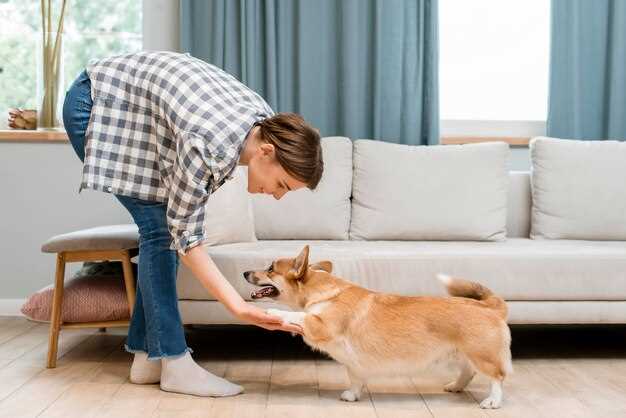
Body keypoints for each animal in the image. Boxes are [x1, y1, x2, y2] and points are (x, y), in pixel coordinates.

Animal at [241, 245, 510, 408]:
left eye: (270, 269)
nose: (244, 272)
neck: (322, 292)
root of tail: (491, 306)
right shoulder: (354, 364)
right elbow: (355, 379)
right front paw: (352, 395)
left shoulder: (321, 325)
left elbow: (298, 315)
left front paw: (274, 312)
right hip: (464, 354)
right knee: (469, 371)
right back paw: (455, 386)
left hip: (482, 355)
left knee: (497, 377)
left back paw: (492, 402)